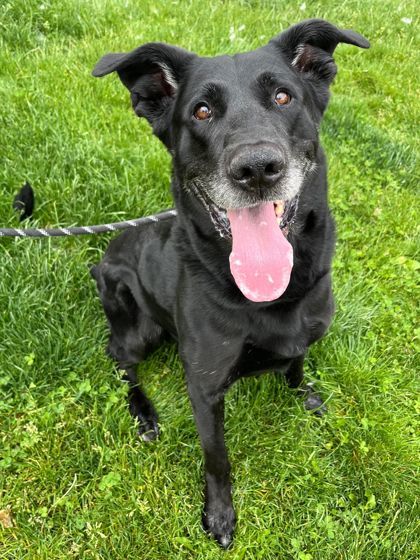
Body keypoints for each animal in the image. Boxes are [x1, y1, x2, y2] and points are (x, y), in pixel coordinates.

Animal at [90, 20, 370, 548]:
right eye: (201, 111)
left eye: (283, 97)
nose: (257, 168)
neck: (273, 296)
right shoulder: (203, 388)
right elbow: (217, 459)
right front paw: (219, 515)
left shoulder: (302, 339)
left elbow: (296, 363)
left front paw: (303, 394)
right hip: (139, 327)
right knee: (119, 360)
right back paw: (143, 412)